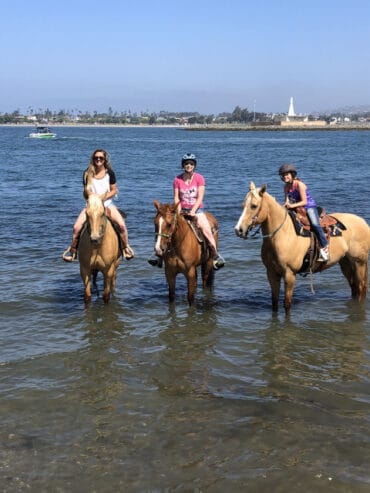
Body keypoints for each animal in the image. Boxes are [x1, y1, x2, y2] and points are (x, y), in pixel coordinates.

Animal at [236, 181, 368, 312]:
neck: (282, 234)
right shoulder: (271, 273)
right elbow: (274, 303)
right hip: (345, 262)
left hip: (359, 262)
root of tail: (363, 222)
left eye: (254, 206)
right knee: (354, 286)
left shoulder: (289, 274)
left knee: (360, 287)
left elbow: (287, 304)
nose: (238, 230)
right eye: (243, 205)